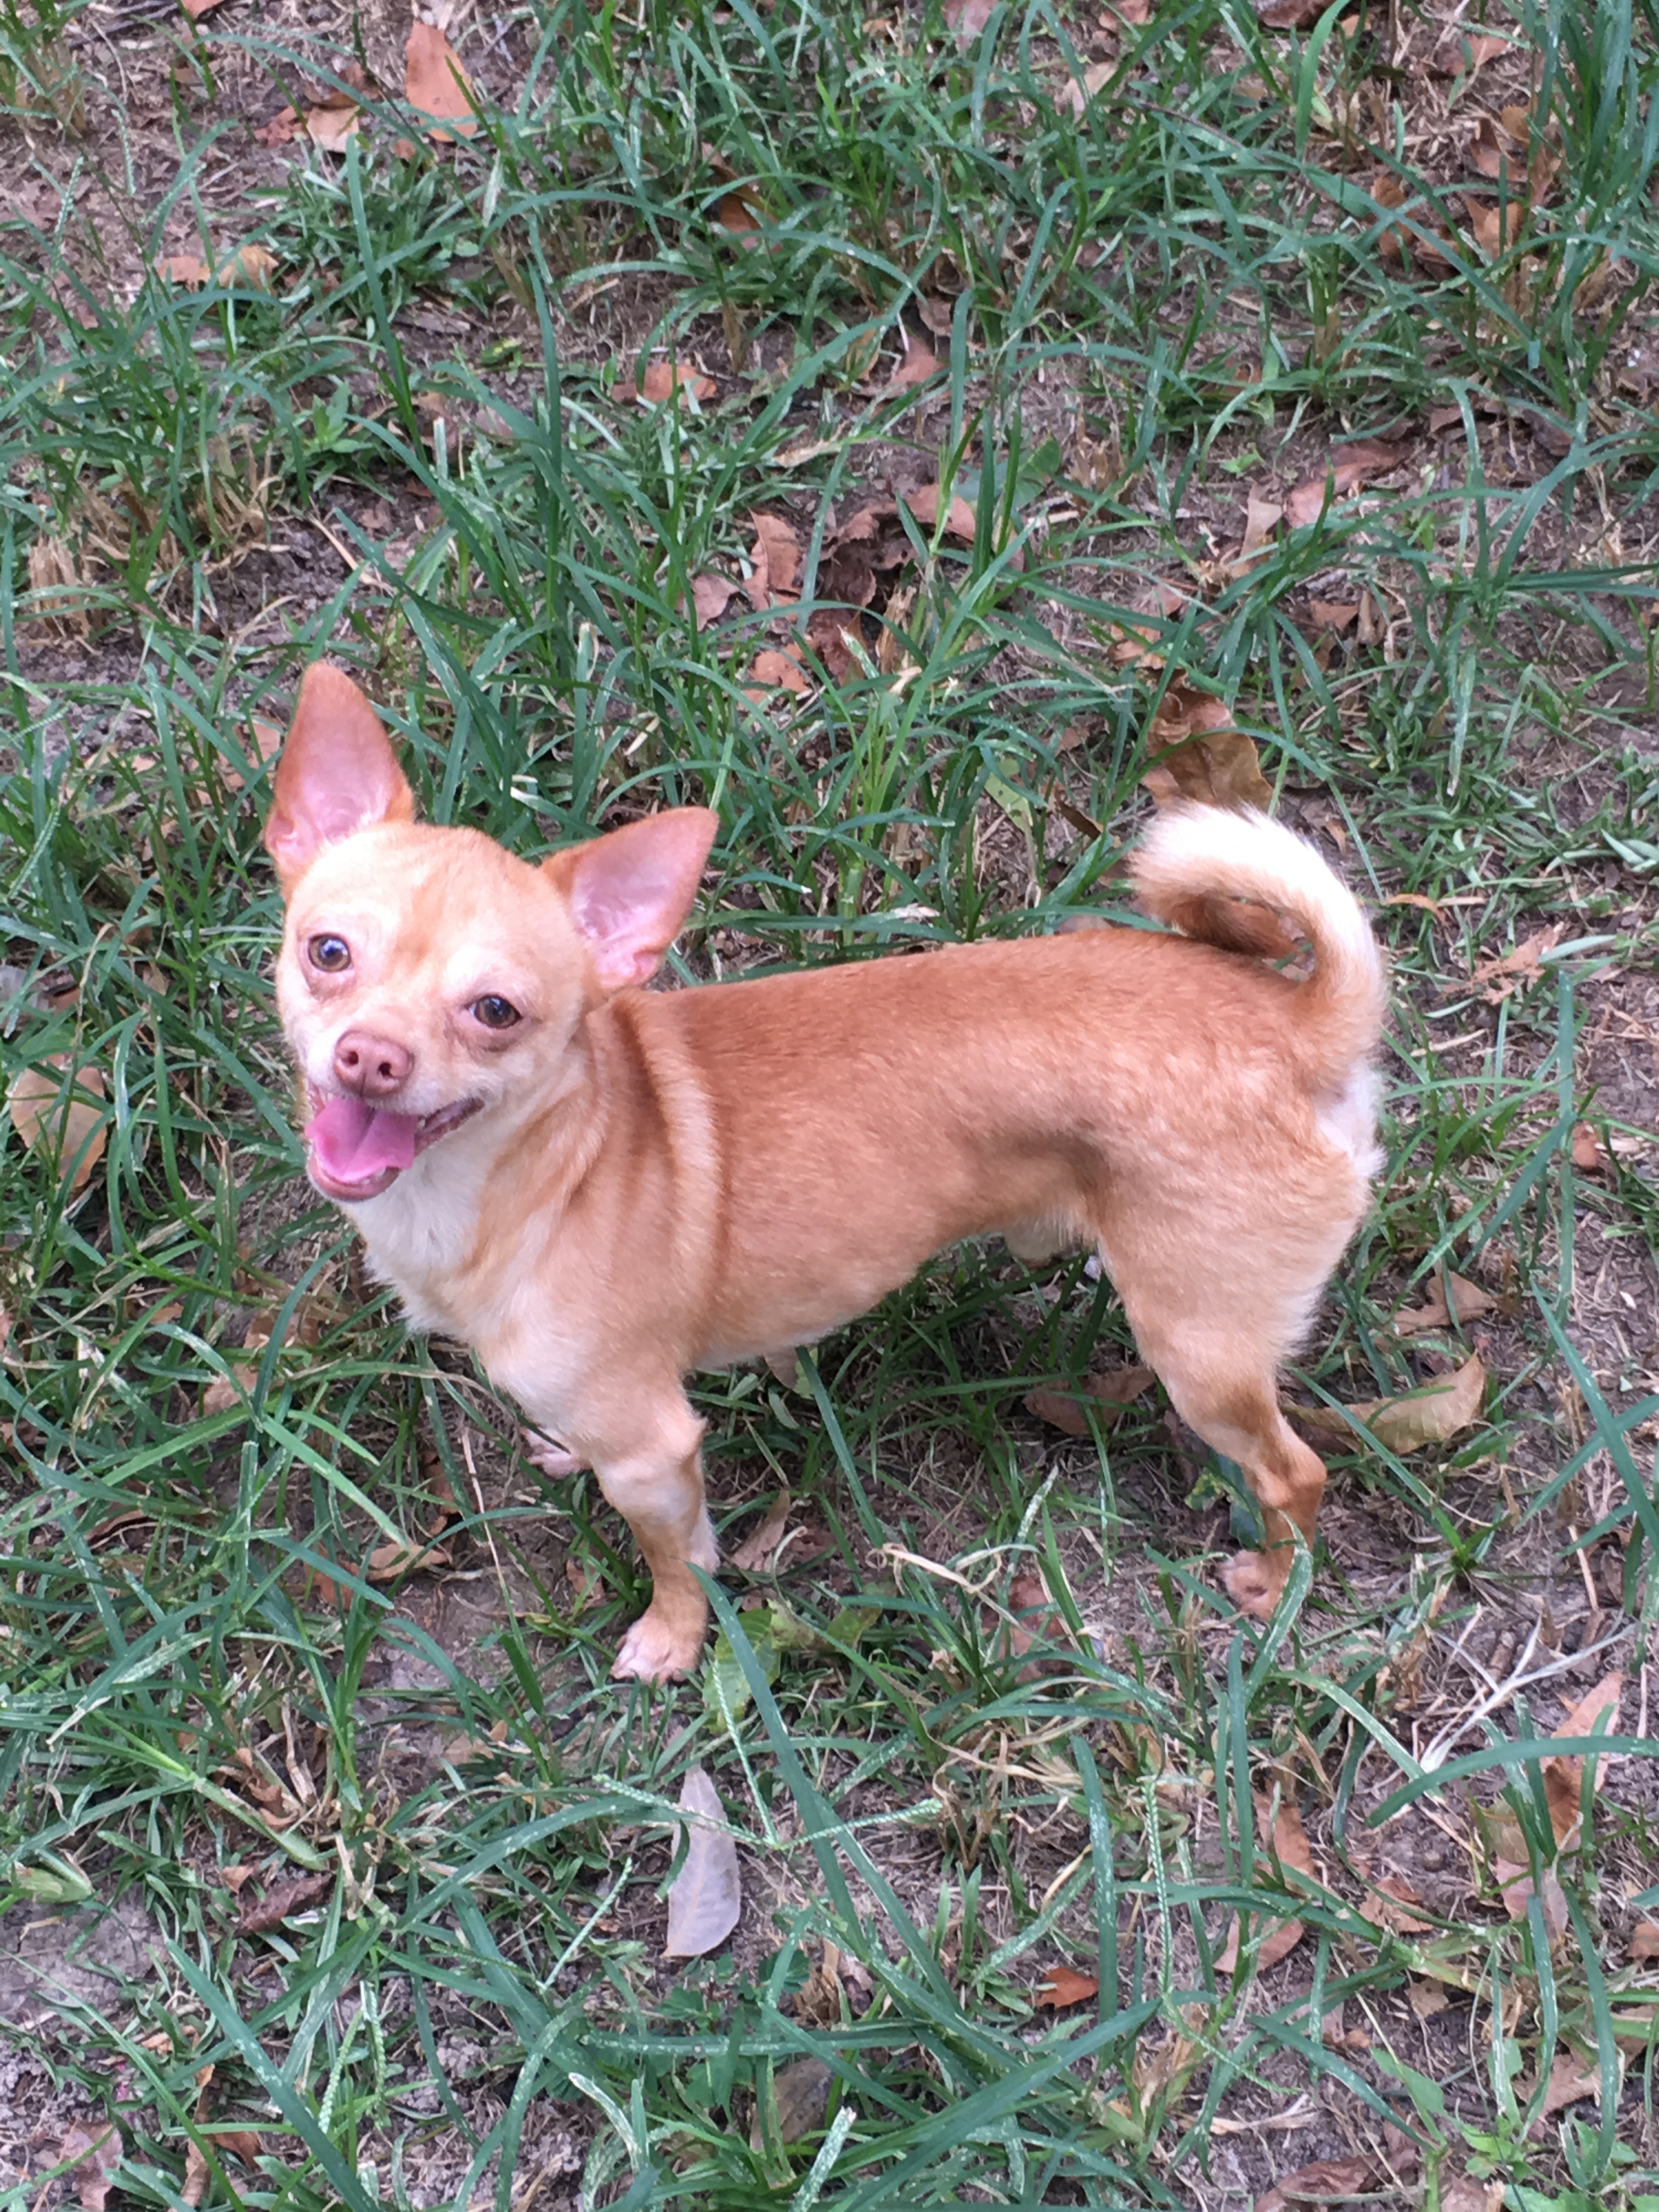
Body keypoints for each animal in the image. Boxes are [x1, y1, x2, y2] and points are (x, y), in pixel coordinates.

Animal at [269, 654, 1389, 1672]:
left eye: (495, 1012)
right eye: (328, 953)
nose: (370, 1057)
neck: (530, 1171)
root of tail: (1293, 1025)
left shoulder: (651, 1449)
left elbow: (676, 1562)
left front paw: (673, 1643)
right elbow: (677, 1526)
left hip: (1199, 1353)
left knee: (1293, 1473)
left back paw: (1275, 1585)